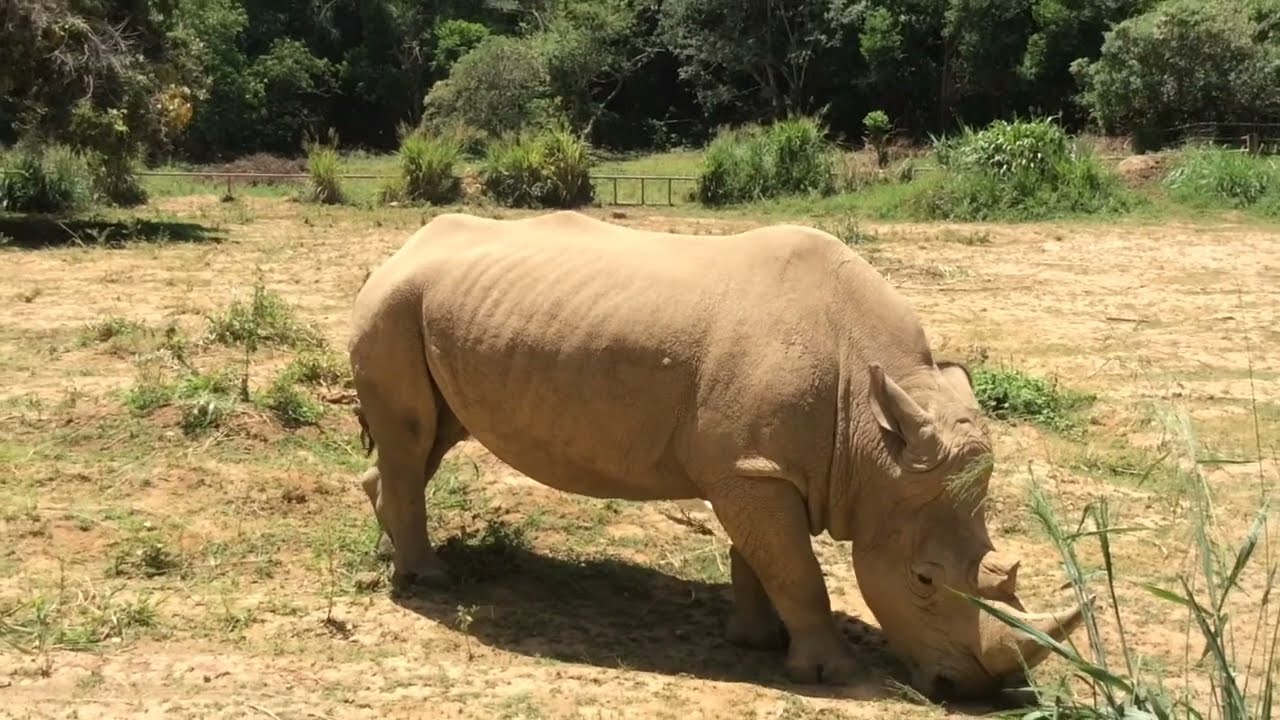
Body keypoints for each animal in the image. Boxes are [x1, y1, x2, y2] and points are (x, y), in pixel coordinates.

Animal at [347, 210, 1087, 700]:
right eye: (925, 580)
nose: (973, 690)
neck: (872, 441)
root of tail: (398, 249)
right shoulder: (751, 471)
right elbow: (797, 571)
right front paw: (833, 674)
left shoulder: (752, 465)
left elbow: (760, 559)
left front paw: (757, 642)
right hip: (392, 306)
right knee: (412, 438)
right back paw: (429, 581)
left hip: (424, 308)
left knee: (427, 440)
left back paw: (394, 557)